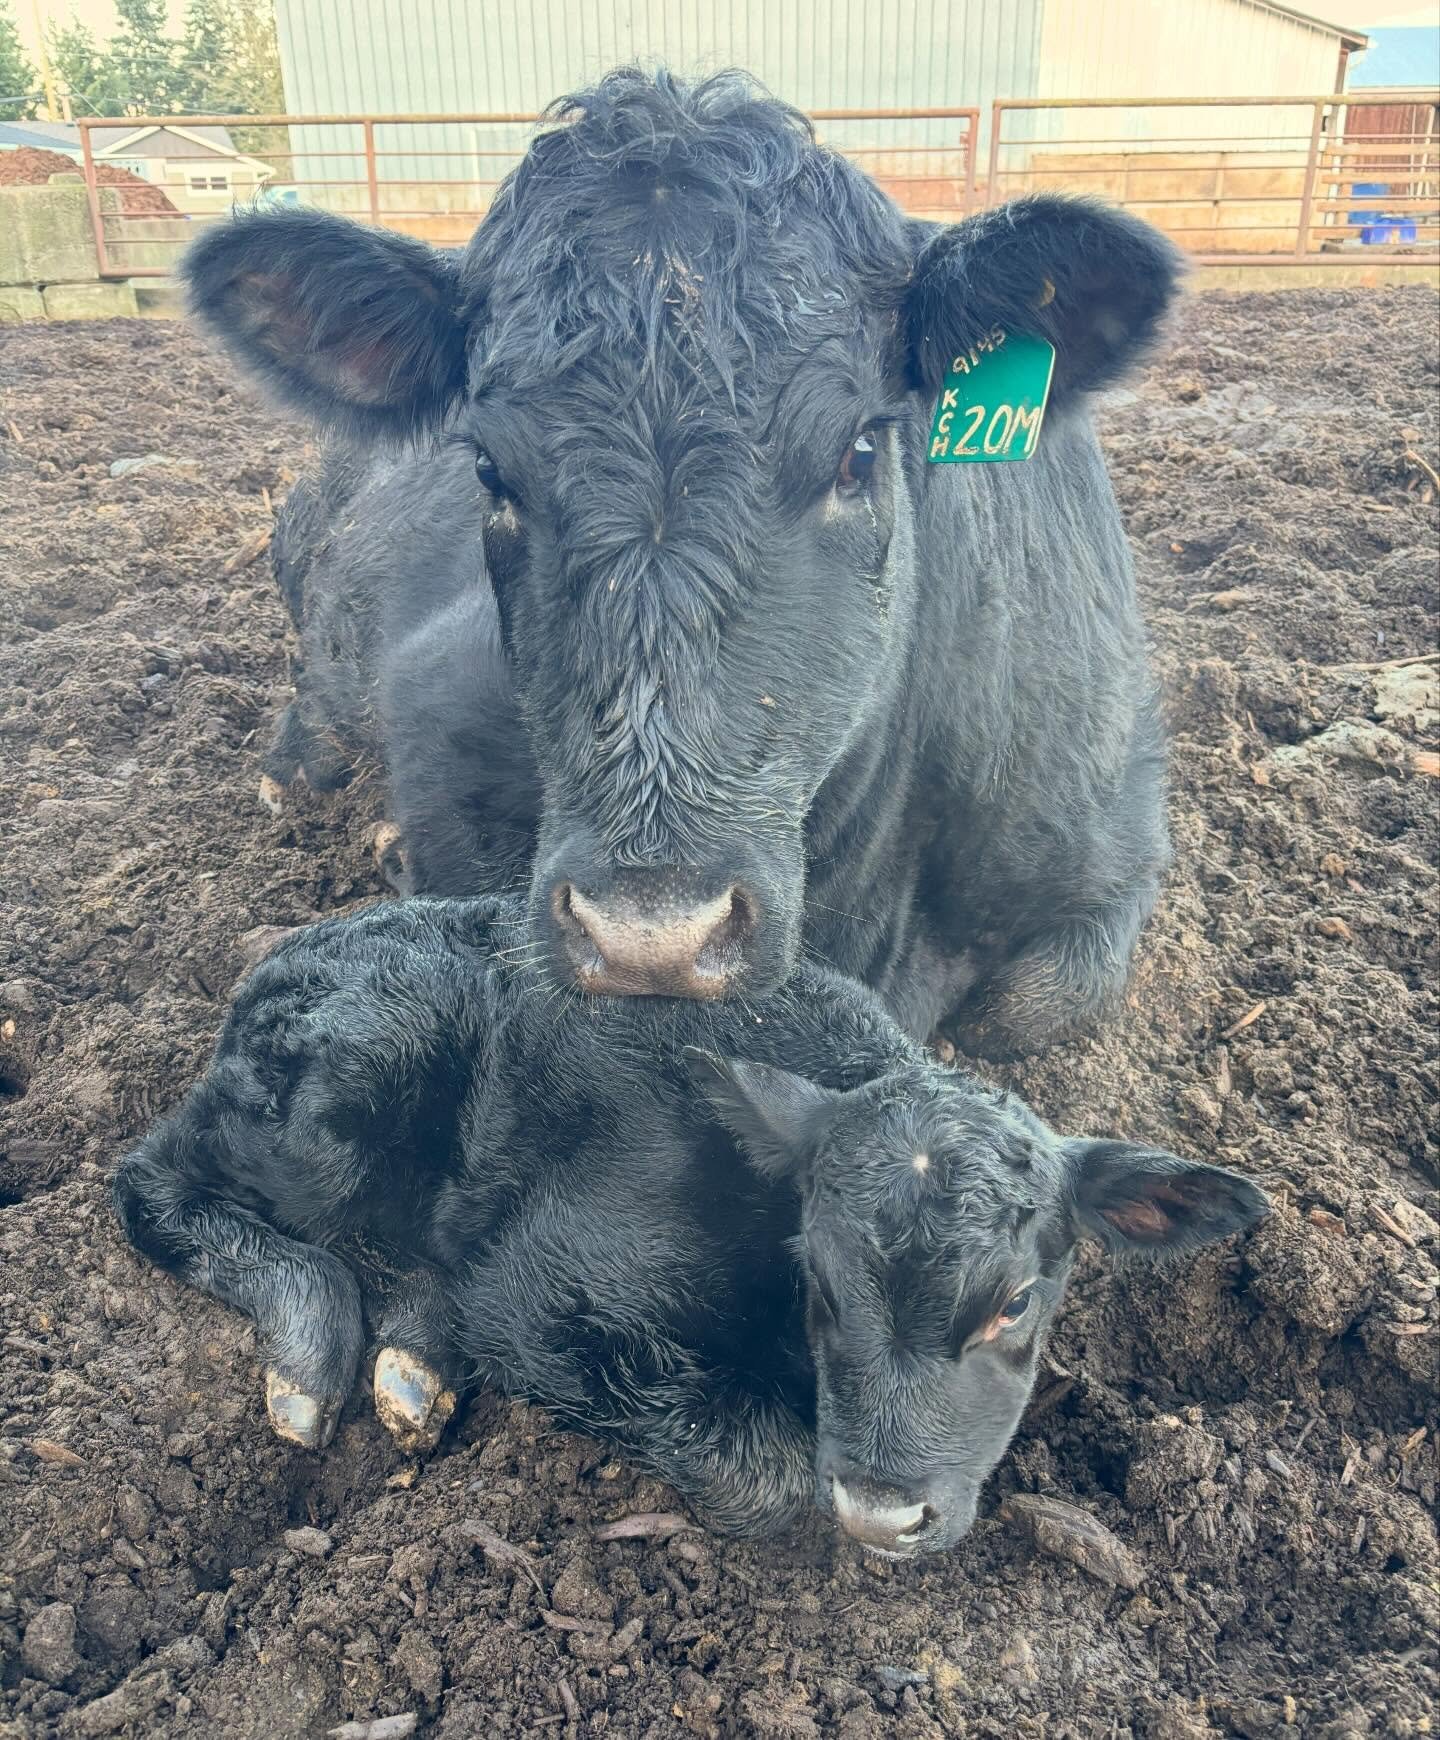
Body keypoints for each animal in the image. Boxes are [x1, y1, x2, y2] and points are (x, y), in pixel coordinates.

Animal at [113, 896, 1266, 1555]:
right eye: (821, 1285)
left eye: (1018, 1301)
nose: (881, 1513)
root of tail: (294, 945)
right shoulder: (544, 1295)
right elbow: (768, 1474)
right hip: (335, 1106)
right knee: (150, 1175)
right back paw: (310, 1348)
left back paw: (413, 1358)